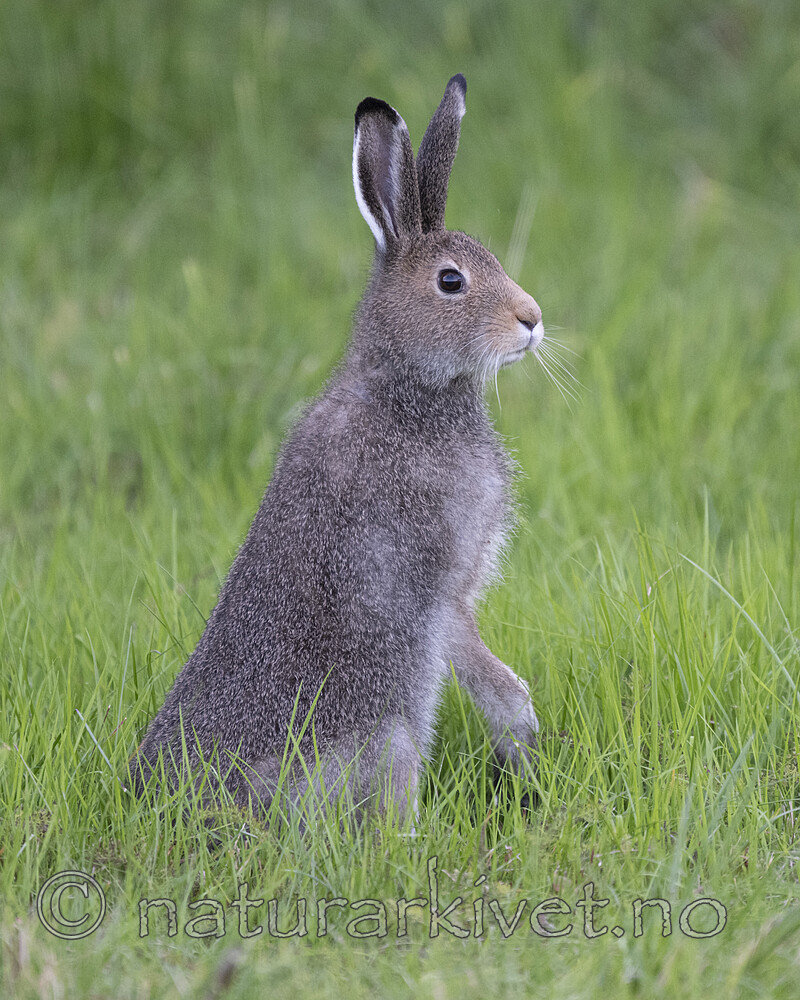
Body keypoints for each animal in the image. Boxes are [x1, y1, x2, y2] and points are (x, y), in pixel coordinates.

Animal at [134, 74, 544, 825]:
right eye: (451, 281)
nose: (531, 320)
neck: (406, 389)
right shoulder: (441, 580)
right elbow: (473, 654)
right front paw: (521, 725)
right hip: (391, 731)